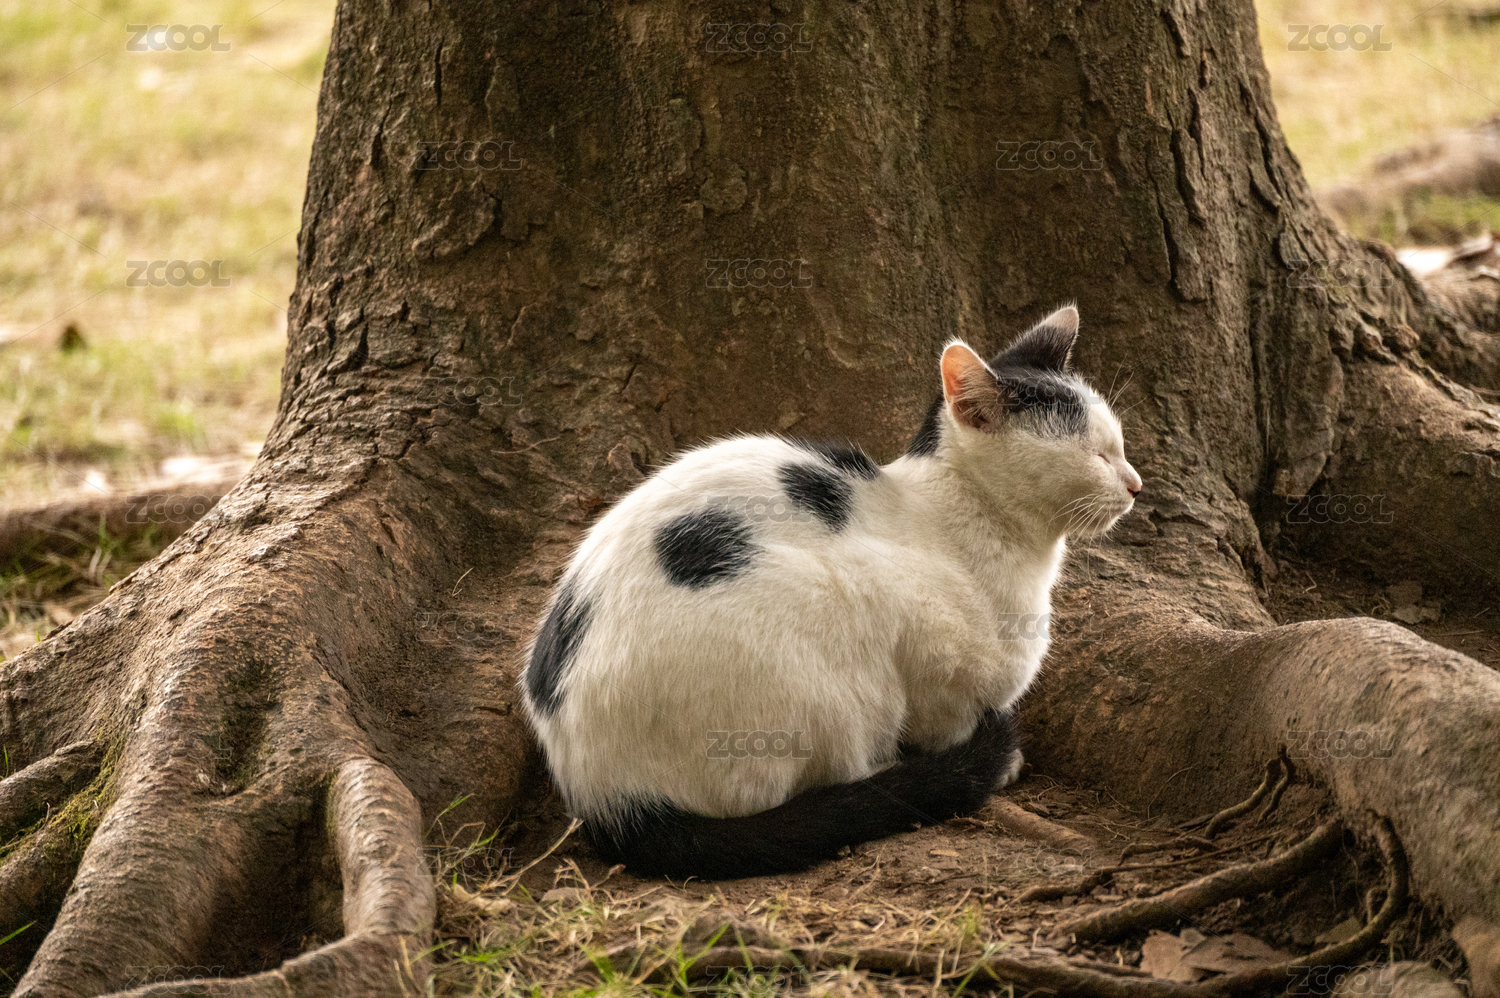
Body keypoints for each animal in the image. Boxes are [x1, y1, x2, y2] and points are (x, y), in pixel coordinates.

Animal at [520, 305, 1141, 879]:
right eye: (1096, 455)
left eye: (1119, 445)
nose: (1136, 483)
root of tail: (603, 797)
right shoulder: (934, 668)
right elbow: (952, 724)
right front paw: (992, 762)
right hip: (824, 660)